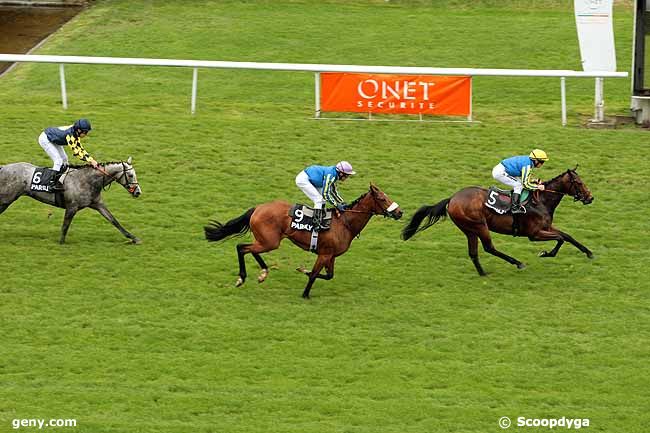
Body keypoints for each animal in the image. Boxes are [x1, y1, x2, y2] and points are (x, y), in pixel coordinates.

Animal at [0, 156, 142, 243]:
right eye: (130, 175)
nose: (138, 192)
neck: (87, 180)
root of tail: (4, 167)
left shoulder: (98, 204)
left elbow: (114, 220)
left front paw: (133, 238)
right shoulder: (71, 207)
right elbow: (65, 226)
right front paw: (61, 243)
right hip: (6, 199)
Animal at [205, 182, 402, 296]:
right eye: (382, 198)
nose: (400, 212)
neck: (345, 222)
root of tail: (257, 208)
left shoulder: (330, 255)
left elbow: (328, 275)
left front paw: (303, 270)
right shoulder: (324, 254)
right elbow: (315, 274)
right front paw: (305, 294)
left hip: (266, 241)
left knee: (248, 249)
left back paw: (262, 273)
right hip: (270, 242)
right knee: (241, 247)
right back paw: (244, 277)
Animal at [402, 167, 596, 276]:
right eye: (579, 182)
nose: (590, 198)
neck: (540, 200)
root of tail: (452, 198)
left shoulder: (547, 227)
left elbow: (567, 236)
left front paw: (588, 252)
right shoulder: (534, 234)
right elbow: (560, 239)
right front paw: (545, 253)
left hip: (469, 229)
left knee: (473, 252)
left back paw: (482, 273)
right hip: (479, 225)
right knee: (489, 248)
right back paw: (517, 263)